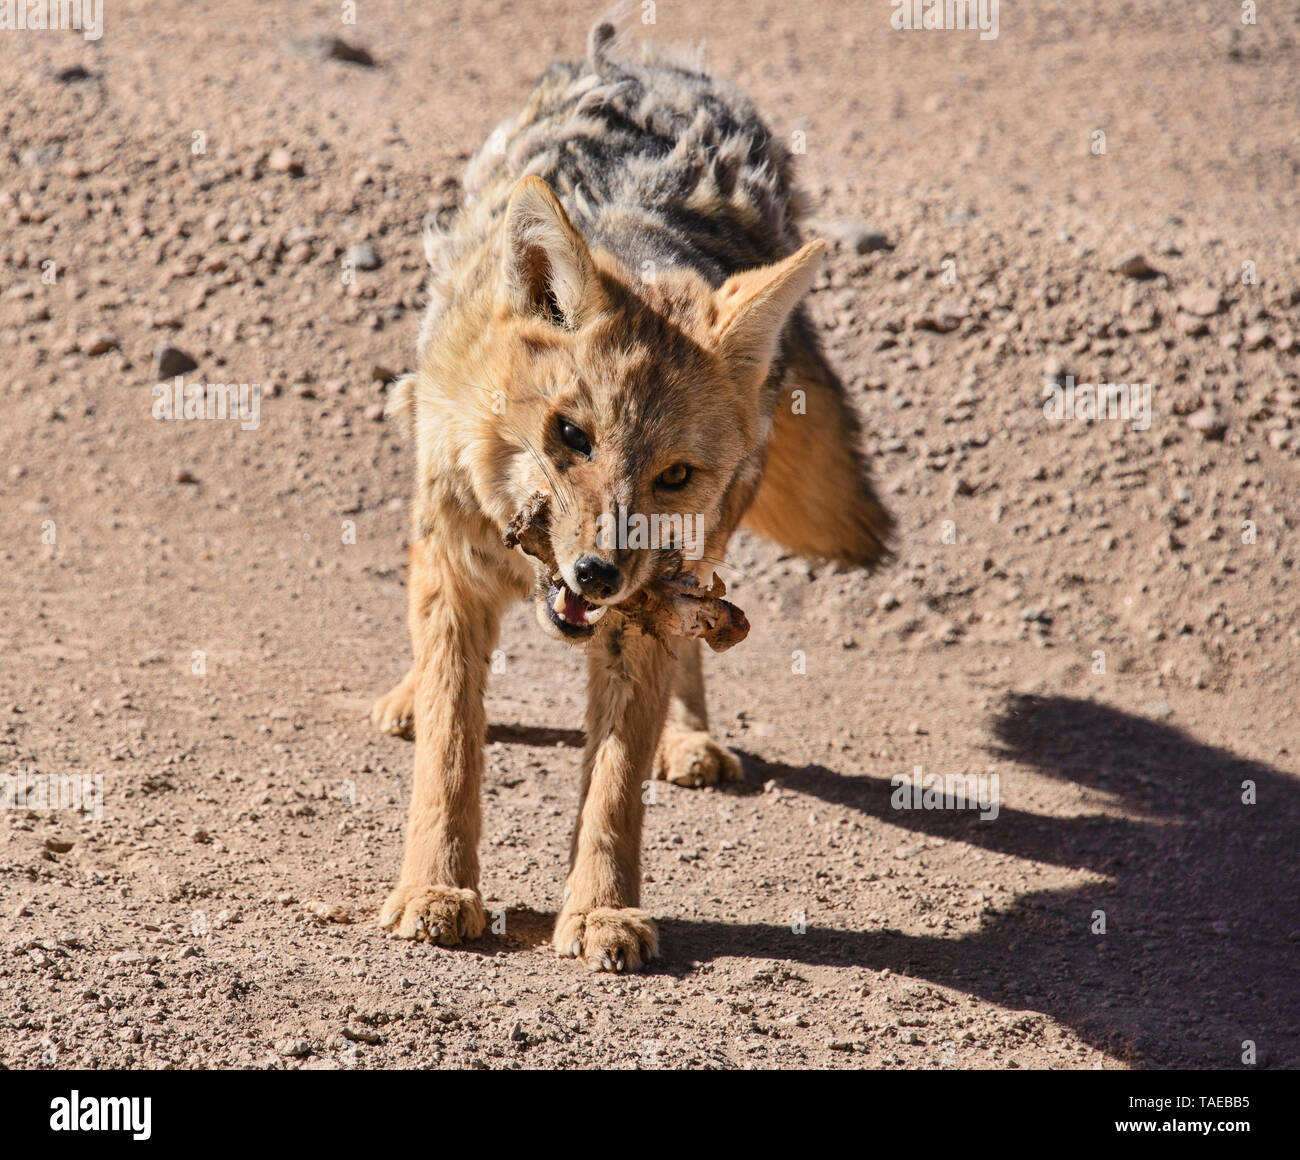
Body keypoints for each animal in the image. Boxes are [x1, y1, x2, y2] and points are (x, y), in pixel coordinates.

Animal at [370, 22, 892, 972]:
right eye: (571, 437)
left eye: (672, 474)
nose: (597, 572)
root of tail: (654, 62)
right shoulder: (457, 571)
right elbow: (452, 754)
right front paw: (436, 891)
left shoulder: (641, 613)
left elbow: (612, 786)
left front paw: (602, 911)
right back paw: (408, 695)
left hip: (696, 556)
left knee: (693, 640)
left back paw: (688, 737)